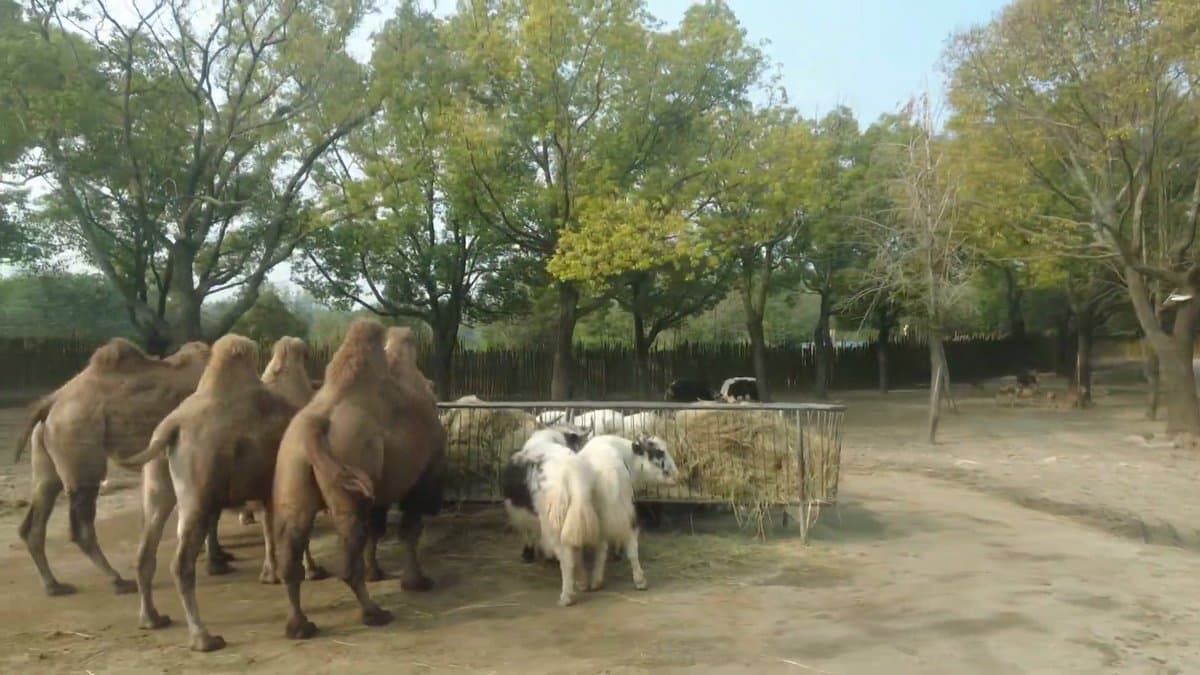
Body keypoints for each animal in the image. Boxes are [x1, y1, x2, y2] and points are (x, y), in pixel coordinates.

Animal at [13, 338, 222, 597]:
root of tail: (51, 402)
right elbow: (212, 513)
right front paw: (217, 562)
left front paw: (219, 556)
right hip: (79, 442)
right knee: (81, 523)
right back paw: (118, 580)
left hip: (46, 451)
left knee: (37, 514)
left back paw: (54, 585)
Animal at [125, 334, 303, 651]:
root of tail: (170, 430)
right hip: (198, 487)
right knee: (181, 564)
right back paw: (203, 638)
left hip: (157, 482)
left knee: (145, 550)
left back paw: (152, 619)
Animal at [272, 318, 445, 640]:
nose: (438, 503)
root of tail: (315, 426)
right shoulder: (419, 479)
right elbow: (410, 531)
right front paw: (416, 581)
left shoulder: (380, 487)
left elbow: (377, 531)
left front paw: (376, 572)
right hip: (349, 484)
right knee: (348, 560)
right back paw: (374, 613)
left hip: (293, 472)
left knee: (291, 553)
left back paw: (300, 626)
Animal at [577, 434, 679, 592]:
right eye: (659, 453)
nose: (676, 476)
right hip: (626, 513)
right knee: (628, 546)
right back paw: (639, 580)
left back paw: (586, 582)